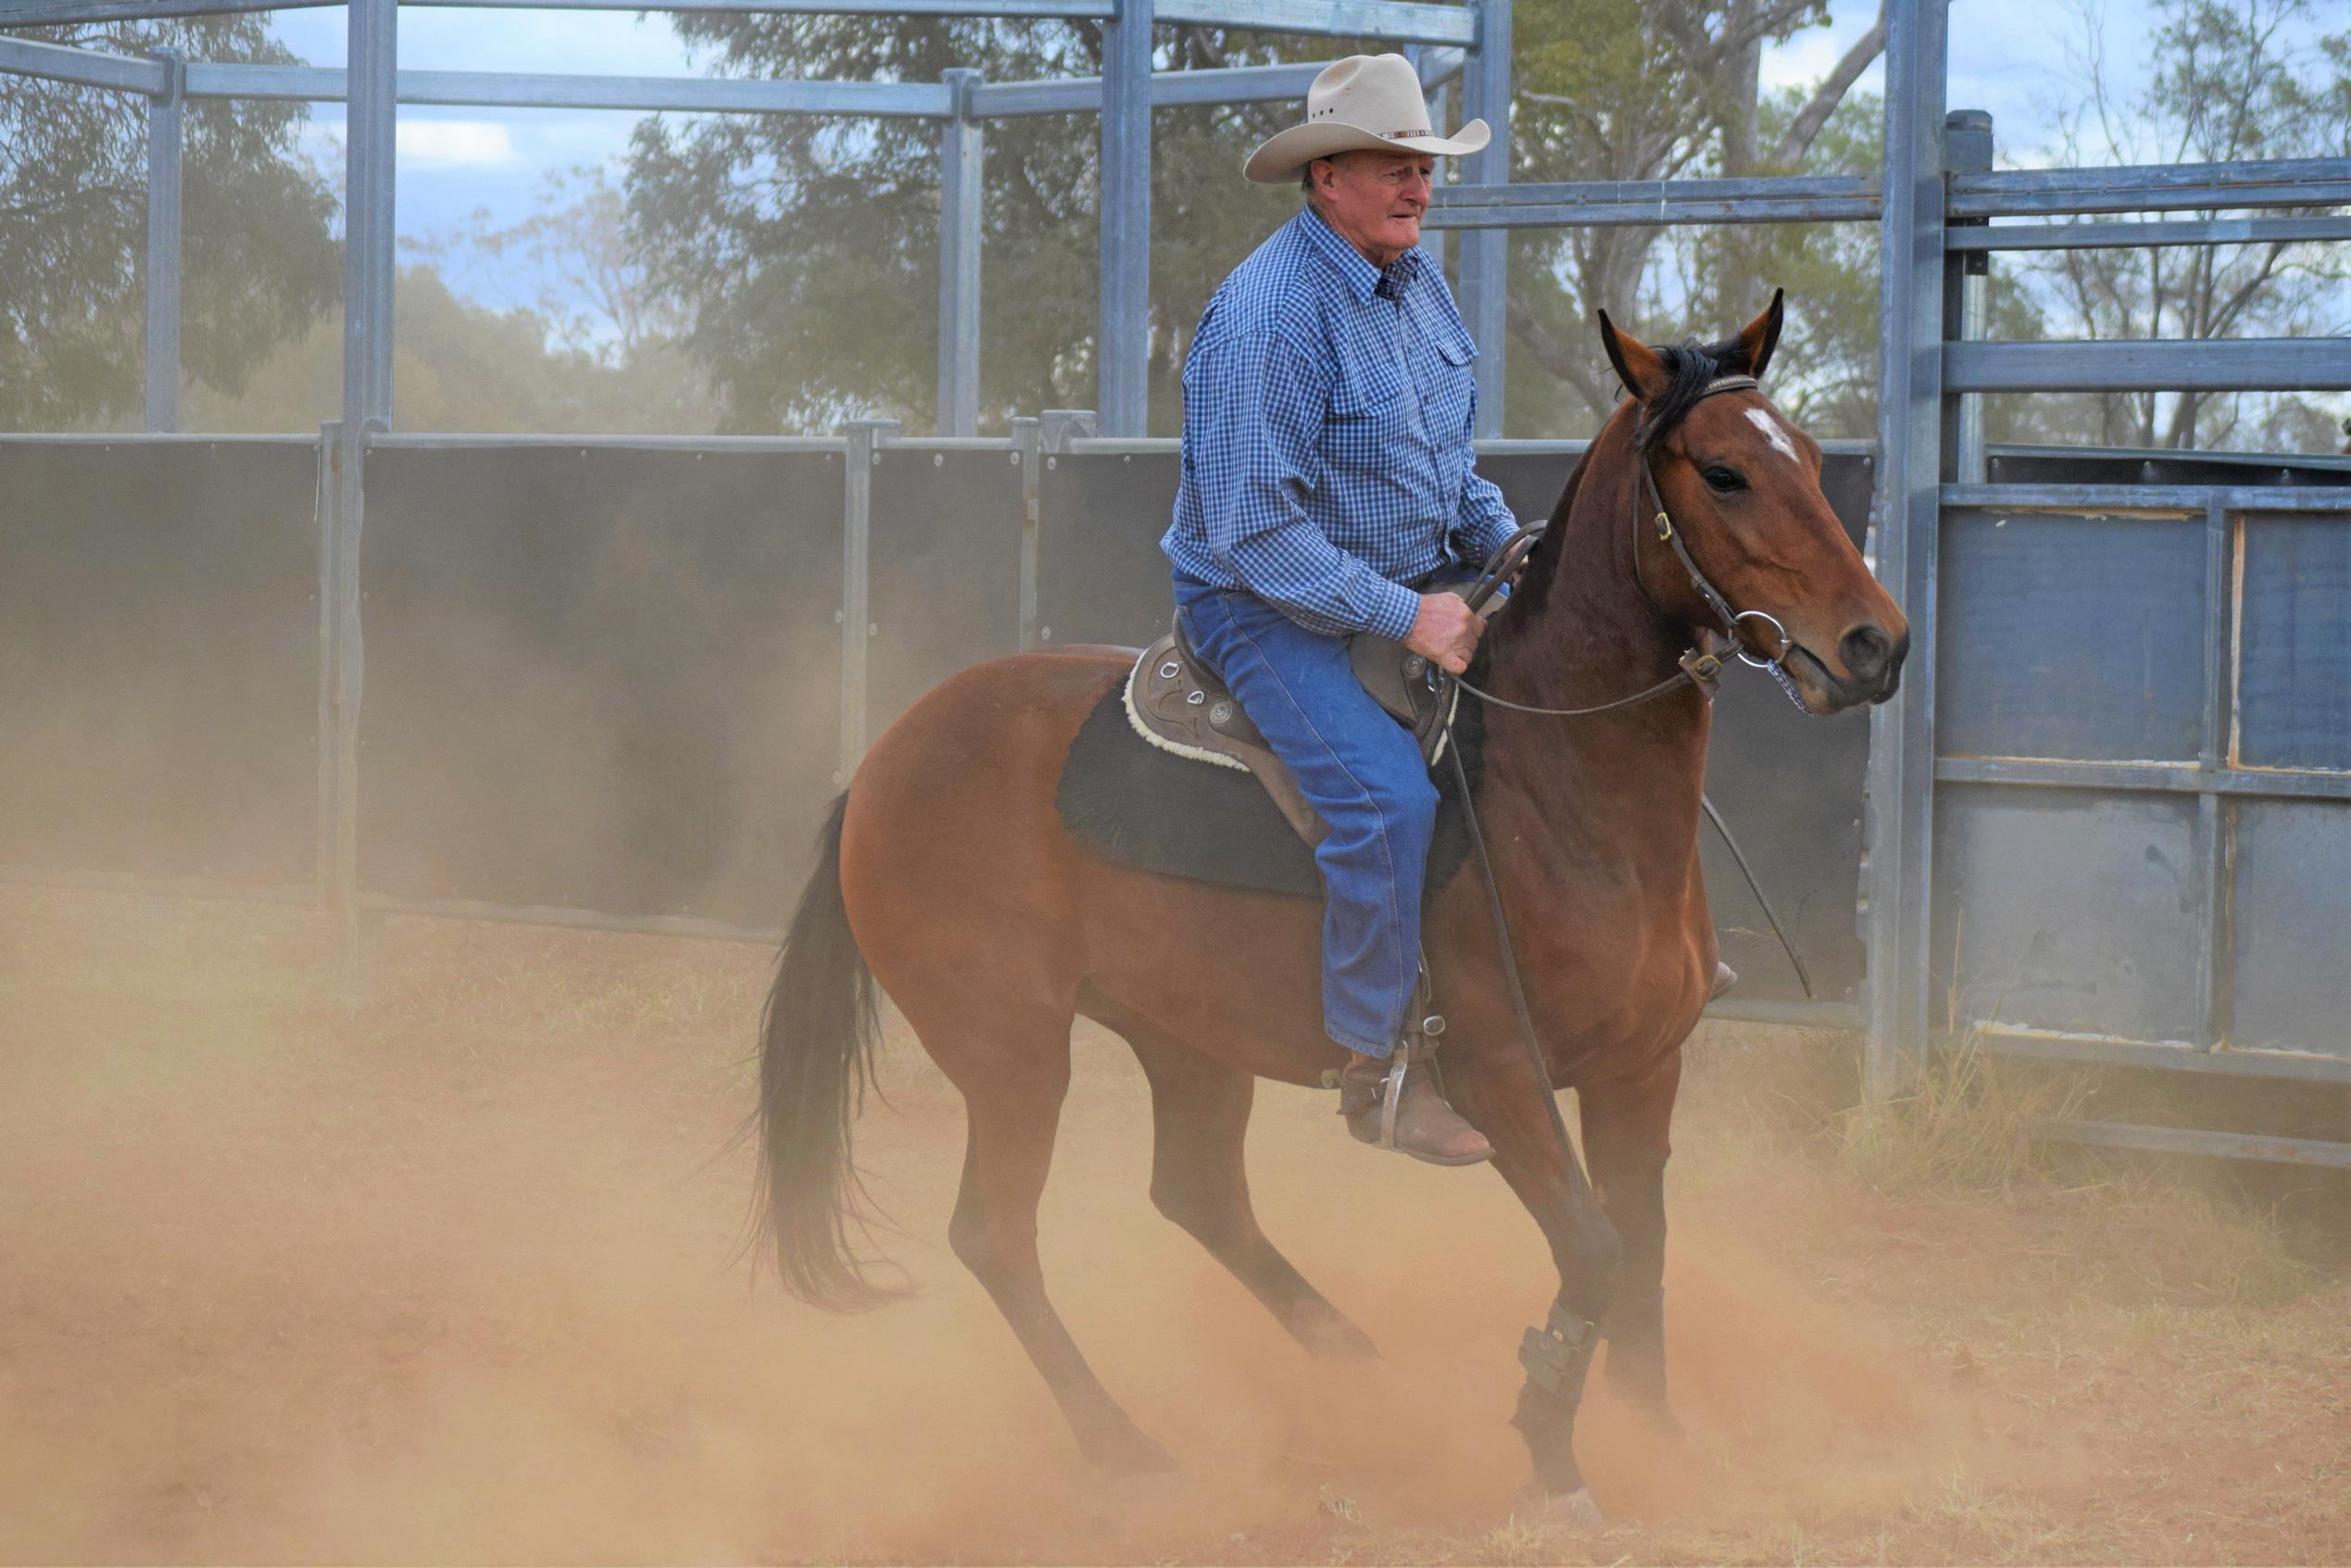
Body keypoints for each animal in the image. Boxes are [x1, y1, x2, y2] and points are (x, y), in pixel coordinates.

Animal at [752, 300, 1908, 1513]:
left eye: (1813, 459)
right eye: (1724, 473)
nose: (1876, 643)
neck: (1555, 780)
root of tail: (881, 763)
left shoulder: (1644, 1068)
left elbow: (1641, 1248)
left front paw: (1660, 1439)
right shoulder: (1497, 1073)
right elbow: (1593, 1250)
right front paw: (1551, 1452)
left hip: (1183, 1035)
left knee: (1200, 1194)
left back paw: (1360, 1370)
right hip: (1009, 1046)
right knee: (996, 1234)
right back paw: (1127, 1446)